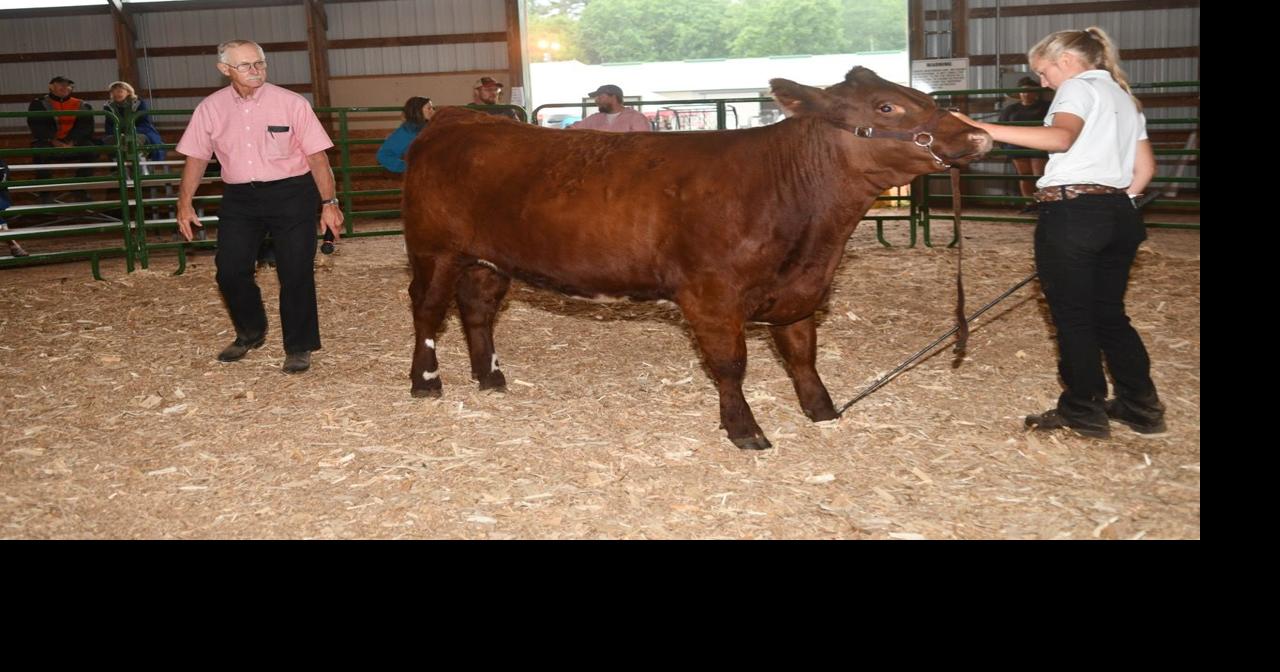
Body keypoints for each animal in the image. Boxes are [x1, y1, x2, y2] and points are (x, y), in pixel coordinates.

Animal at [399, 66, 988, 450]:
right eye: (887, 106)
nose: (978, 135)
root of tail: (459, 119)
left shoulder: (799, 293)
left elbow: (803, 356)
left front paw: (822, 412)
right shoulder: (711, 297)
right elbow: (731, 365)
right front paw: (745, 431)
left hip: (487, 260)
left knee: (476, 310)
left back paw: (490, 378)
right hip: (433, 249)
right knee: (427, 311)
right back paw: (426, 381)